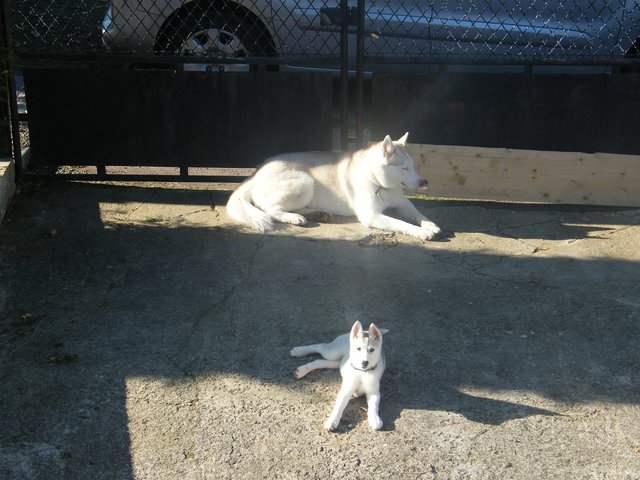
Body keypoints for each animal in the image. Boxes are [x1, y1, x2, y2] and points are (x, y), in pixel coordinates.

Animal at [225, 133, 440, 240]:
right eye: (405, 168)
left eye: (414, 166)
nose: (424, 182)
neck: (380, 183)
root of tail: (257, 170)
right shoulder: (372, 216)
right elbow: (402, 223)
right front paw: (422, 232)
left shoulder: (403, 204)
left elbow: (418, 214)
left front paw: (430, 225)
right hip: (305, 182)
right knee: (269, 209)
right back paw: (293, 218)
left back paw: (317, 213)